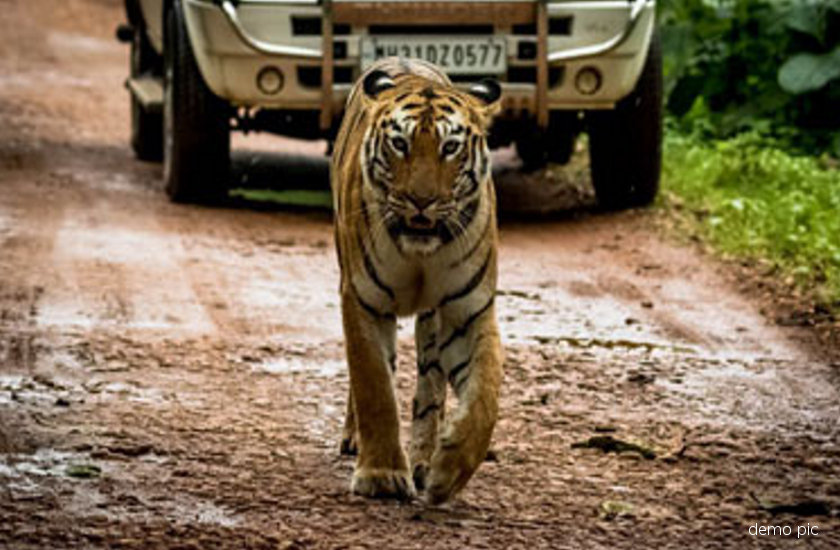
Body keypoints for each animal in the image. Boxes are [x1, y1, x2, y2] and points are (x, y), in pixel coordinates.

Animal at [330, 57, 504, 504]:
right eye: (400, 144)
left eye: (450, 148)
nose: (421, 201)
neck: (420, 254)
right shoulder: (363, 299)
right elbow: (374, 386)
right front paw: (382, 475)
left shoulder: (467, 311)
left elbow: (485, 394)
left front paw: (449, 471)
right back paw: (357, 440)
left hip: (433, 321)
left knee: (430, 387)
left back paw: (424, 461)